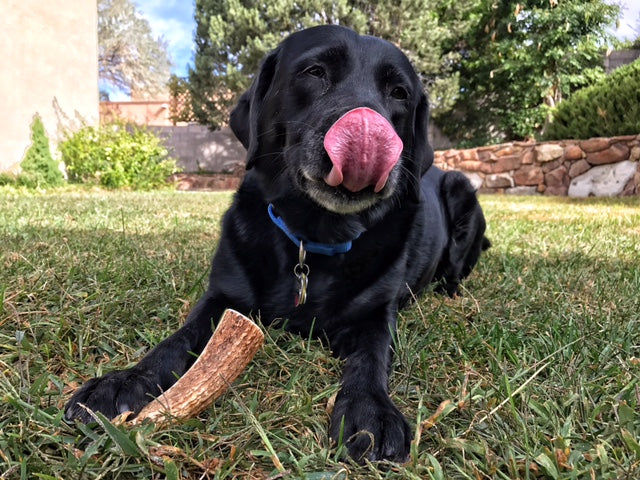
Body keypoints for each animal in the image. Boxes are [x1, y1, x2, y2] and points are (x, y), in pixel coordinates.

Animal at [65, 24, 488, 464]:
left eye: (400, 93)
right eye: (315, 71)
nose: (368, 131)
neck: (312, 236)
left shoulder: (375, 315)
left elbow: (371, 357)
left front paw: (371, 409)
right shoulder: (223, 298)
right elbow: (176, 340)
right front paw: (126, 379)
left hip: (461, 189)